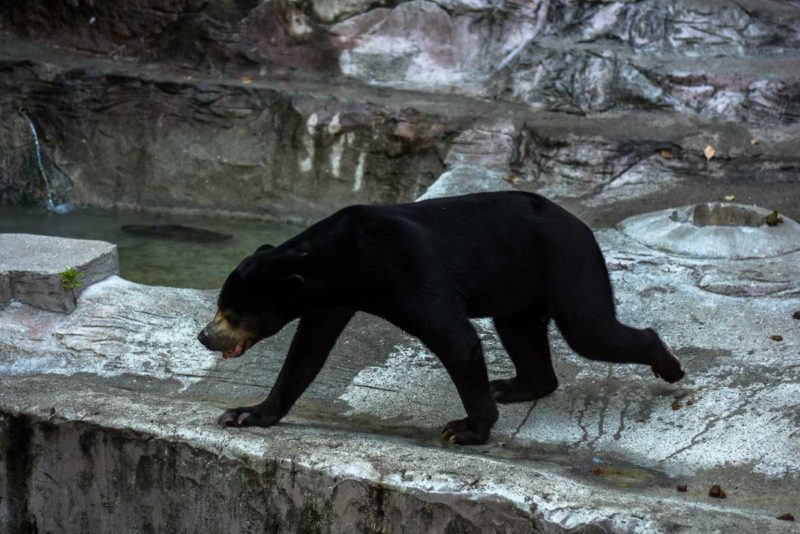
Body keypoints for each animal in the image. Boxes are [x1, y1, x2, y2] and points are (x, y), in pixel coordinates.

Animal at [197, 192, 684, 444]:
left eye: (234, 313)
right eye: (221, 307)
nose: (204, 336)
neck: (341, 264)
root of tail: (584, 227)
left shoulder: (406, 268)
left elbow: (455, 339)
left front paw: (466, 429)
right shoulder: (330, 300)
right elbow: (306, 353)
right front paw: (245, 414)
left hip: (567, 263)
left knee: (589, 330)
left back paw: (670, 367)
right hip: (520, 285)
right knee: (520, 330)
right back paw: (514, 385)